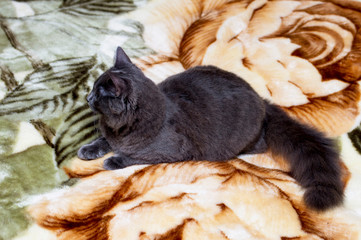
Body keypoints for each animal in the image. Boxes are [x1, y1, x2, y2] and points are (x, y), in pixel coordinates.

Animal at [78, 46, 344, 210]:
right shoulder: (111, 135)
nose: (87, 97)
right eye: (92, 90)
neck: (121, 128)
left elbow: (134, 156)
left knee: (260, 144)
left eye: (98, 93)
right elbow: (103, 140)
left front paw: (113, 160)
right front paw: (88, 150)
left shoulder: (171, 151)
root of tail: (260, 99)